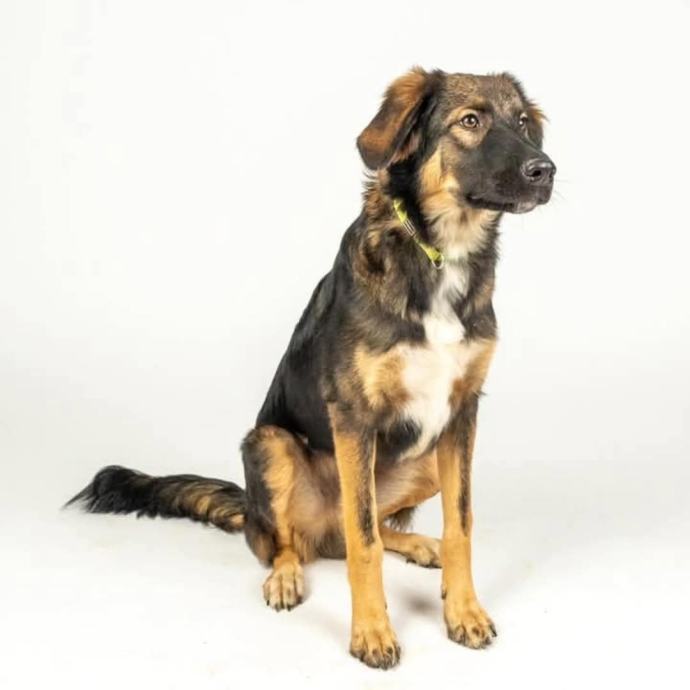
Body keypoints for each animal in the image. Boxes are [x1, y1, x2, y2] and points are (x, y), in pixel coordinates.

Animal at [68, 68, 555, 669]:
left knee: (353, 533)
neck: (439, 254)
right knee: (296, 543)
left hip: (422, 458)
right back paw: (285, 577)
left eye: (522, 122)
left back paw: (419, 544)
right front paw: (372, 632)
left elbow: (459, 525)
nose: (546, 170)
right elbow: (365, 542)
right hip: (270, 444)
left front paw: (462, 611)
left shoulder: (462, 413)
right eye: (470, 121)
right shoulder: (353, 415)